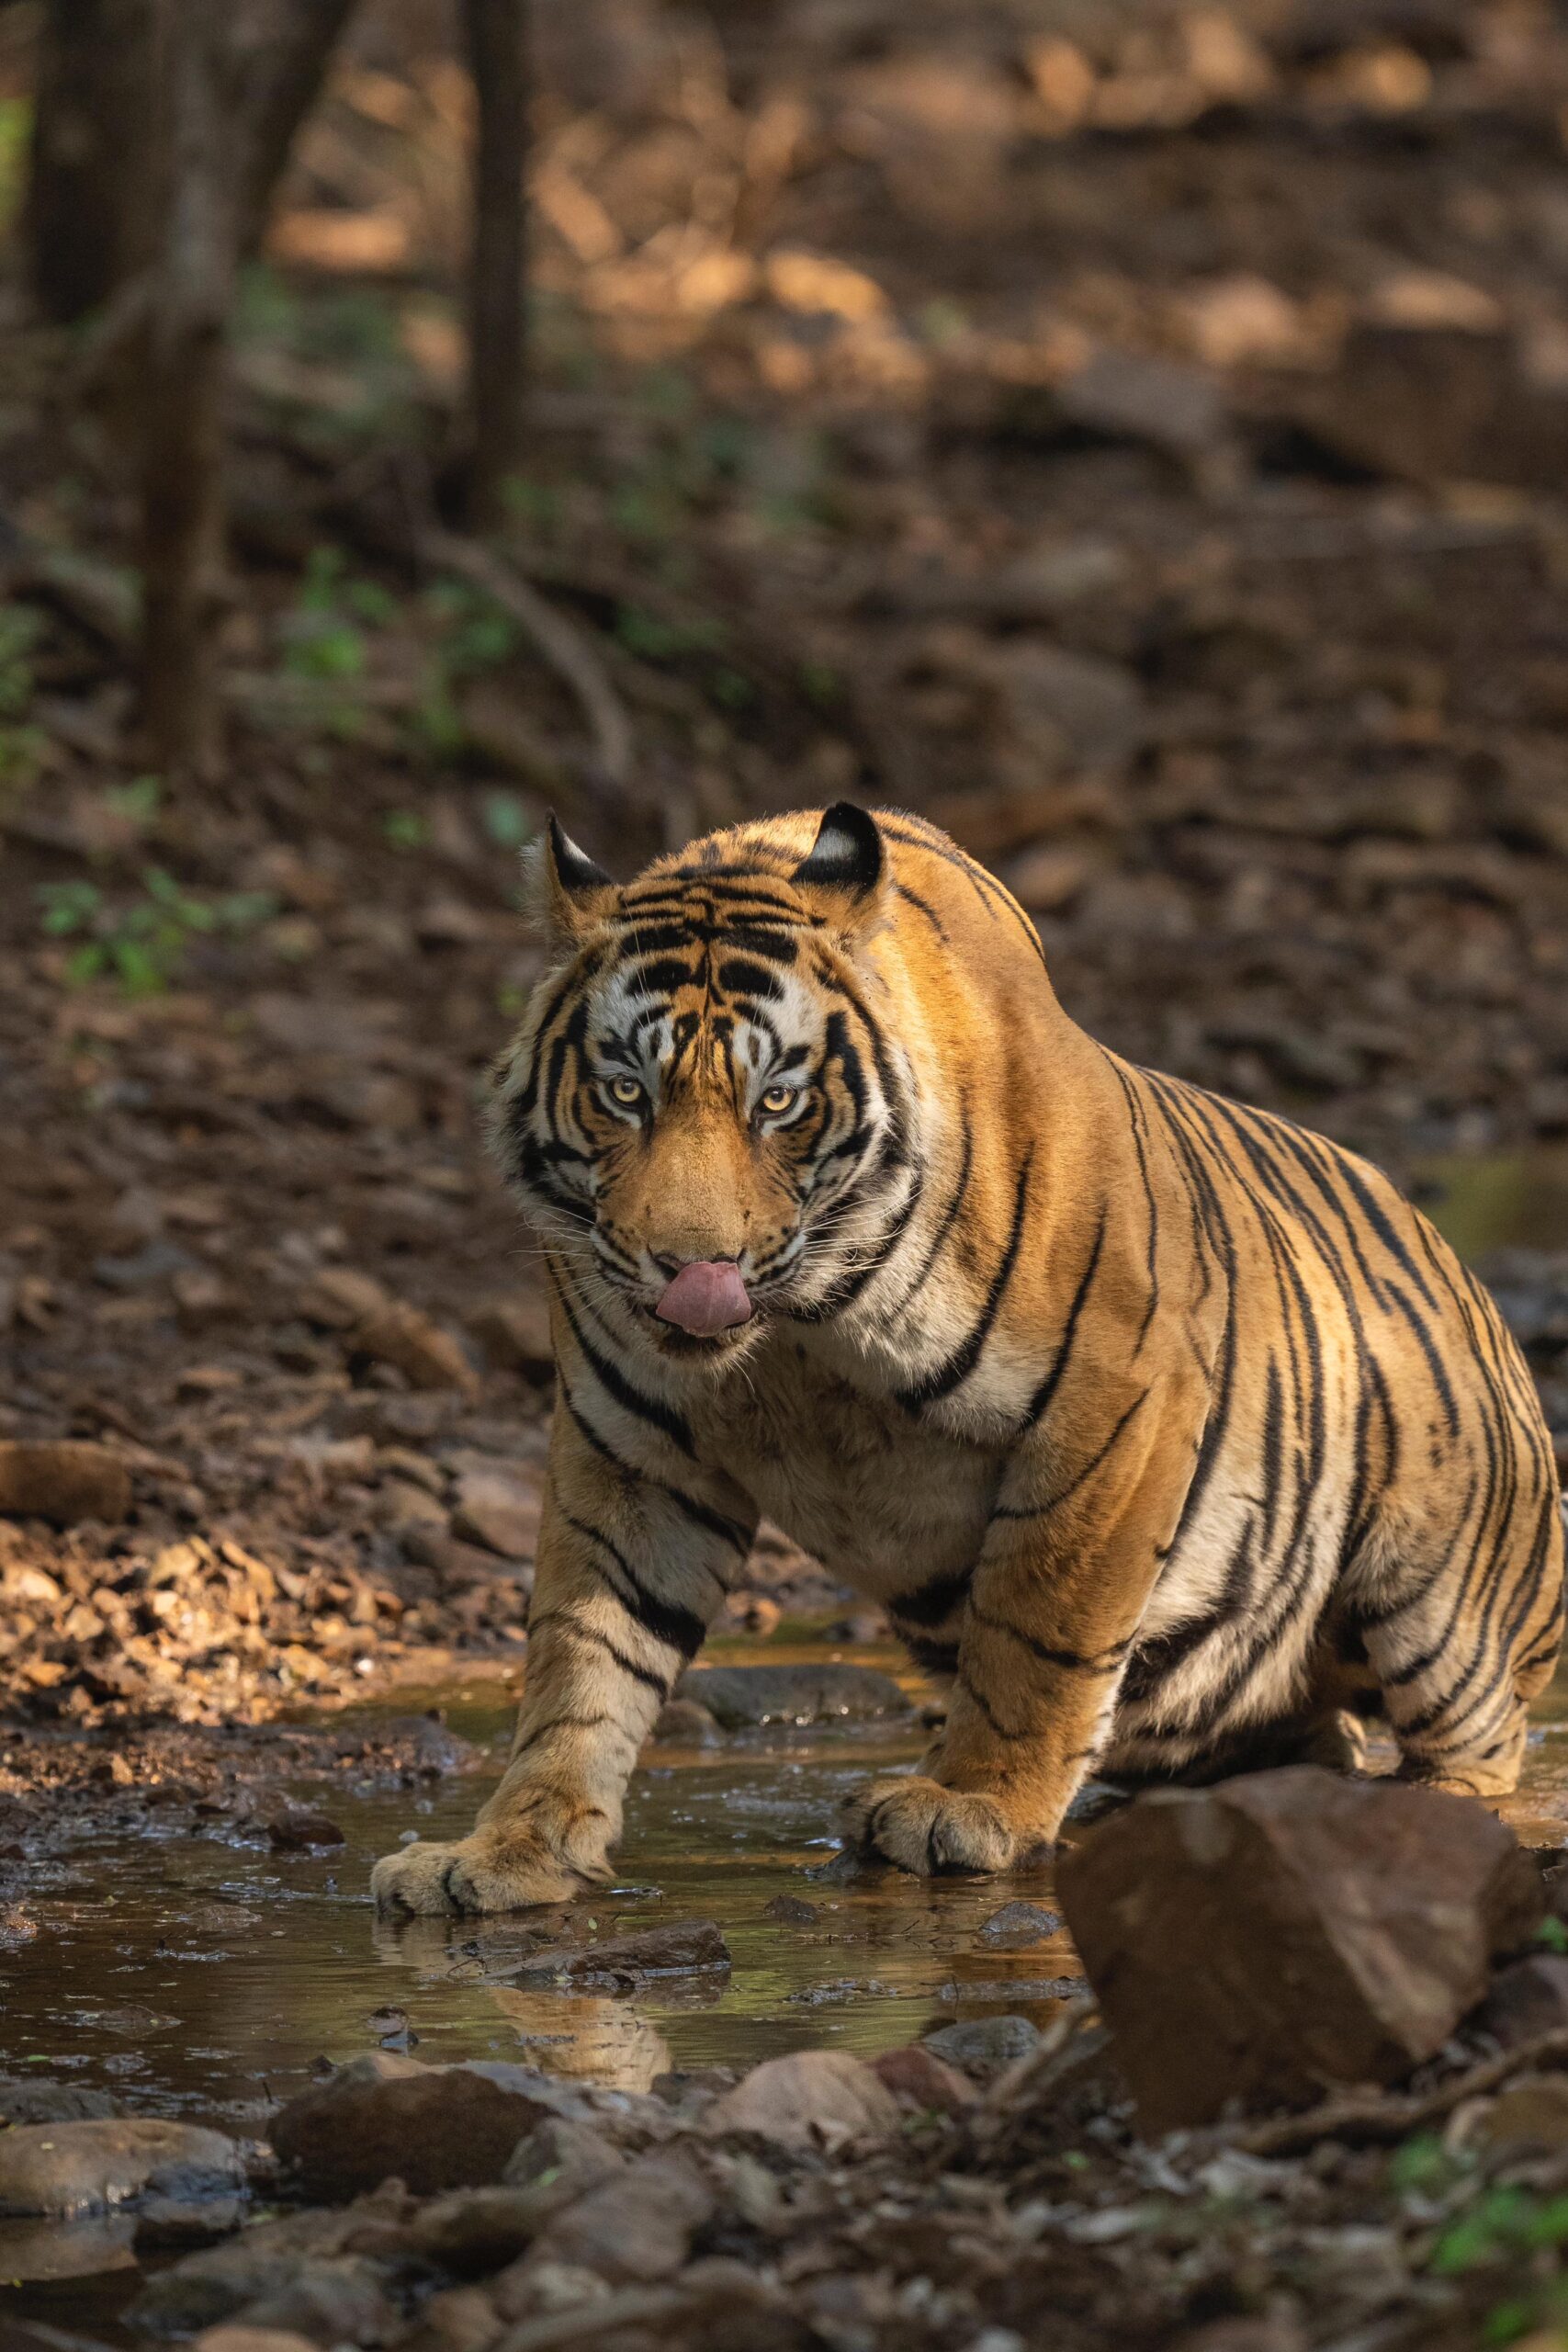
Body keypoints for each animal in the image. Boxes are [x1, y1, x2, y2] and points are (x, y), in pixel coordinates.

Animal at [371, 808, 1568, 1909]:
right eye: (628, 1092)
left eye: (777, 1101)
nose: (689, 1269)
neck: (800, 1333)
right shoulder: (632, 1449)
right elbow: (583, 1658)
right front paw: (508, 1847)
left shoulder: (1116, 1405)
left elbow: (1040, 1625)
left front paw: (973, 1804)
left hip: (1438, 1593)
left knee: (1482, 1746)